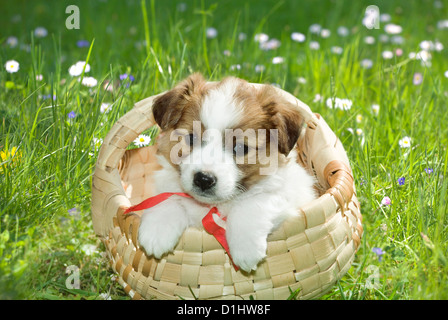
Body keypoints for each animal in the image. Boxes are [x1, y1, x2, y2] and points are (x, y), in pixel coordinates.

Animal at [138, 74, 316, 272]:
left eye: (241, 147)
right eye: (191, 138)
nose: (204, 179)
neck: (213, 206)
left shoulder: (286, 193)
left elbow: (252, 203)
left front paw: (246, 247)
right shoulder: (166, 182)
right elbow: (167, 197)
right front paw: (157, 230)